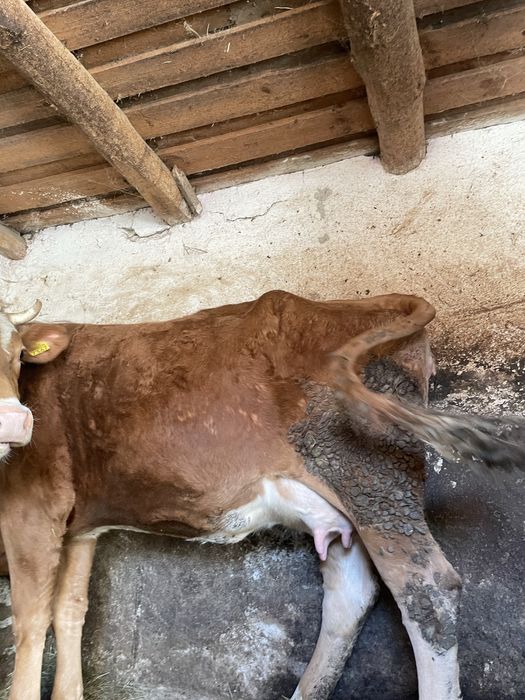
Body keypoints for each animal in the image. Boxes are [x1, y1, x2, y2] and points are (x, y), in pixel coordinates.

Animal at [0, 291, 523, 700]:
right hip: (340, 499)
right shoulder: (81, 528)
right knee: (351, 594)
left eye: (14, 355)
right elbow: (68, 612)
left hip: (370, 475)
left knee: (427, 590)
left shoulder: (30, 507)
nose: (16, 421)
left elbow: (30, 622)